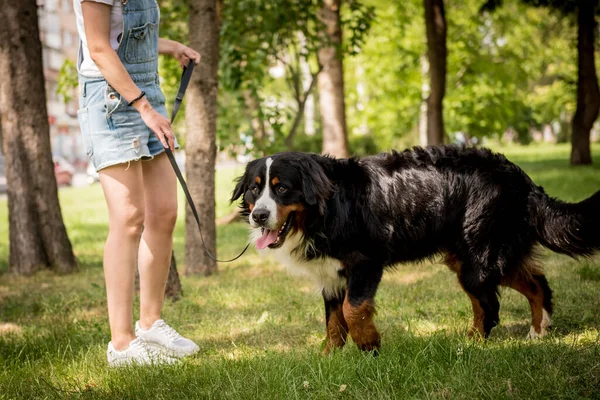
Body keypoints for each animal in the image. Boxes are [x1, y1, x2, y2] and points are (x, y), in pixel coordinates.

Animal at [231, 146, 600, 354]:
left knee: (489, 305)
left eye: (282, 188)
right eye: (254, 189)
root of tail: (519, 175)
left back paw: (471, 344)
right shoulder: (330, 276)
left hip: (479, 256)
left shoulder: (365, 262)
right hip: (478, 256)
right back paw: (538, 330)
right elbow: (334, 323)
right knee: (535, 283)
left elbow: (353, 310)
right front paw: (328, 360)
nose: (259, 215)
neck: (327, 209)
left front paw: (369, 345)